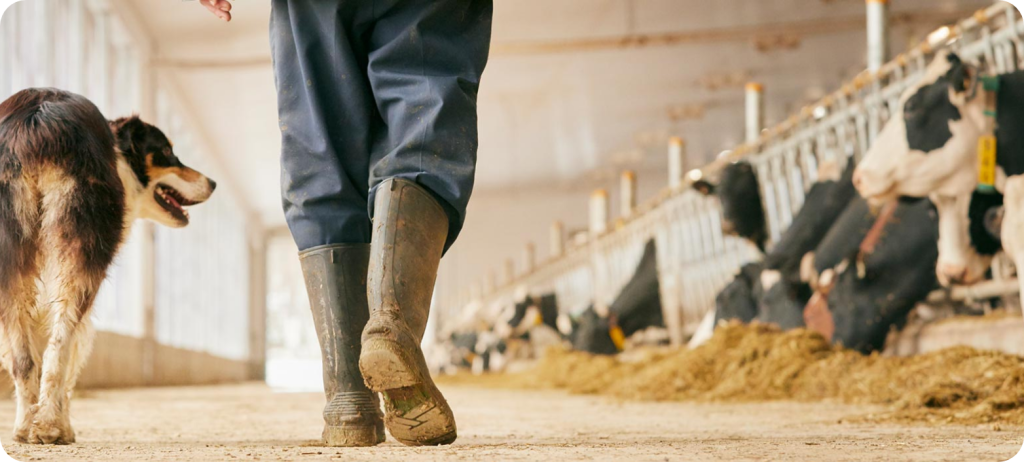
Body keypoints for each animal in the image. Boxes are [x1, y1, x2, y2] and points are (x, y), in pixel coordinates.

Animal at [0, 87, 216, 444]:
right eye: (166, 152)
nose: (213, 183)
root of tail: (38, 118)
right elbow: (72, 355)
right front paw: (63, 425)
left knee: (24, 359)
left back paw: (27, 427)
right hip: (83, 252)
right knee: (59, 347)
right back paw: (50, 427)